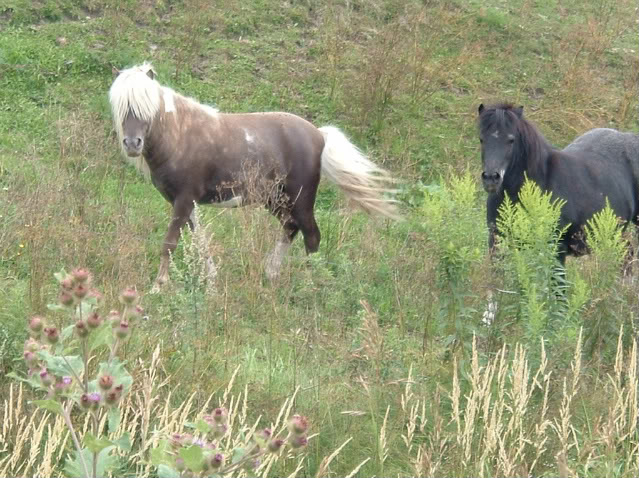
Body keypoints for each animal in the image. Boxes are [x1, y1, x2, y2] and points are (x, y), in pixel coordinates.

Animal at [110, 61, 400, 290]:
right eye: (121, 106)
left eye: (145, 106)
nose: (132, 143)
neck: (180, 136)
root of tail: (319, 134)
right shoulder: (185, 203)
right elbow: (200, 239)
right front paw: (211, 281)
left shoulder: (183, 200)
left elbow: (170, 242)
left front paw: (158, 287)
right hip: (275, 200)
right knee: (290, 227)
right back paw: (271, 273)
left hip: (300, 200)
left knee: (311, 235)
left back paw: (308, 285)